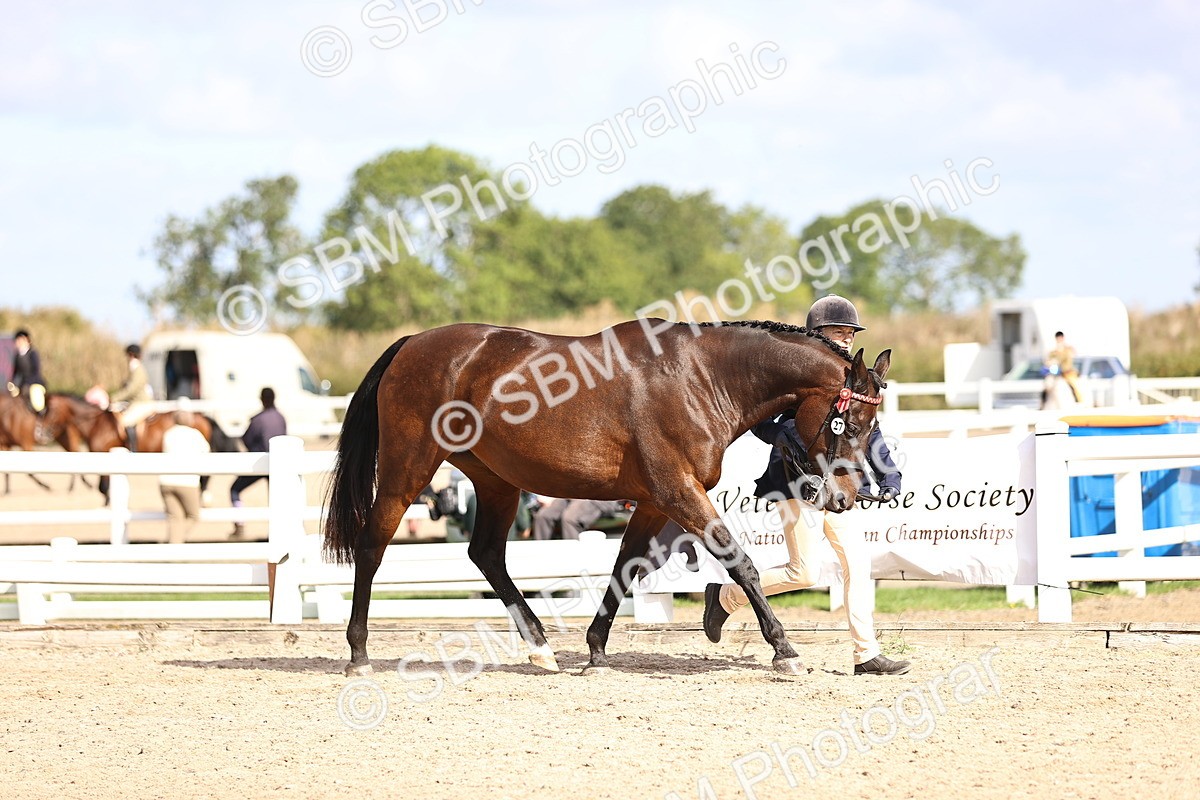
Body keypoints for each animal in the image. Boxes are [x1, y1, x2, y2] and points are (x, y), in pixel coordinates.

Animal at [323, 318, 891, 677]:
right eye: (849, 424)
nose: (845, 498)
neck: (701, 379)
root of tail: (411, 344)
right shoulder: (679, 492)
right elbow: (741, 563)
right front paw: (785, 650)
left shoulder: (655, 502)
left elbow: (624, 568)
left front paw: (596, 650)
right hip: (407, 468)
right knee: (372, 546)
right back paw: (358, 654)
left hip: (496, 481)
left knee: (485, 554)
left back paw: (541, 649)